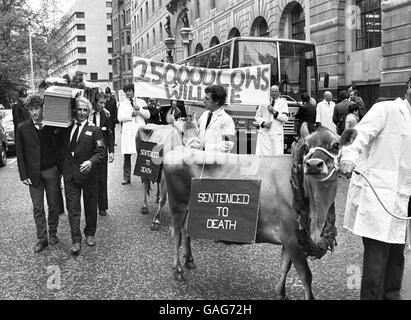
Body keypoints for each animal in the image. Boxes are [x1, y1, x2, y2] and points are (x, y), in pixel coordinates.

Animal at [163, 123, 342, 300]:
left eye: (336, 145)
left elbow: (284, 266)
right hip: (177, 204)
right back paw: (178, 269)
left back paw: (189, 260)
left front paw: (281, 293)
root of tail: (178, 149)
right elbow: (306, 276)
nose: (314, 164)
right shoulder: (292, 237)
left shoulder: (292, 240)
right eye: (306, 147)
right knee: (176, 234)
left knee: (187, 230)